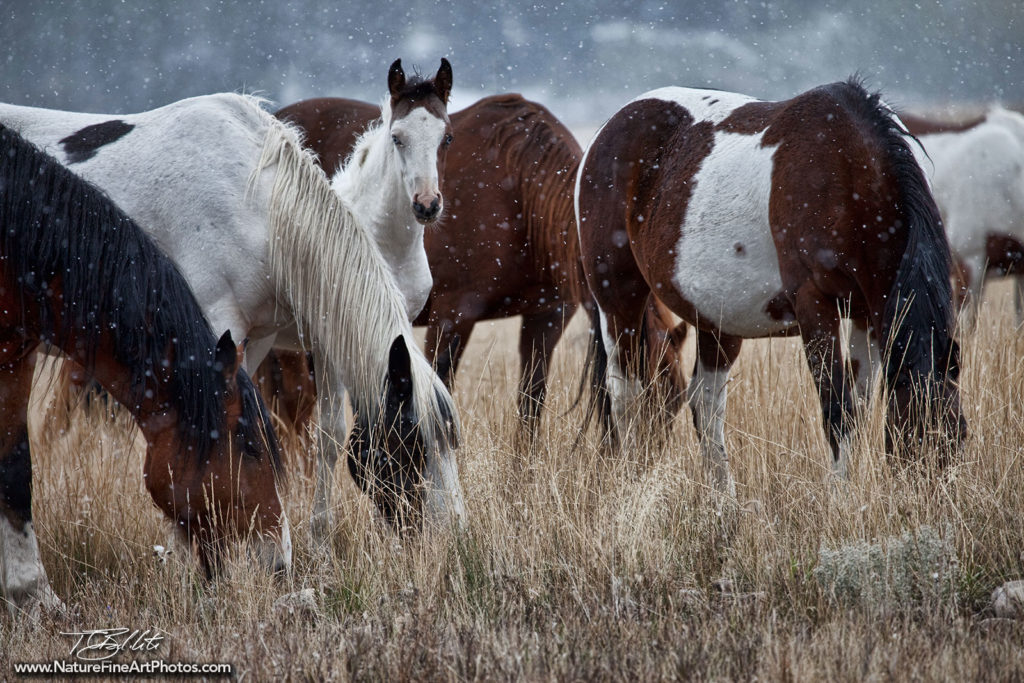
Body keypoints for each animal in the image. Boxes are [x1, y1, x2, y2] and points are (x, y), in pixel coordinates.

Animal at [577, 78, 966, 497]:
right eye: (916, 436)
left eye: (958, 436)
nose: (936, 500)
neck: (848, 170)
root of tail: (607, 131)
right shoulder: (816, 306)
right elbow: (837, 409)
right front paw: (840, 499)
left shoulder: (867, 313)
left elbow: (859, 411)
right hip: (618, 300)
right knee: (626, 397)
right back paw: (631, 484)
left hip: (717, 321)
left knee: (705, 404)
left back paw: (723, 501)